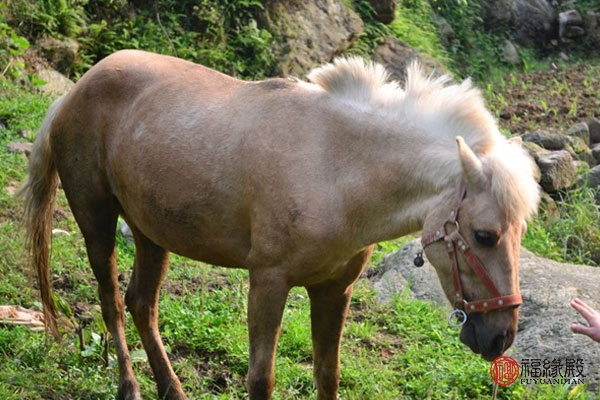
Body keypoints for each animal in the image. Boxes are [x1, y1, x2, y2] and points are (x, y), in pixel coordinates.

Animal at [19, 50, 540, 400]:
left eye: (518, 235)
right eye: (484, 236)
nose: (502, 336)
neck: (335, 166)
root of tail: (76, 89)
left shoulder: (334, 290)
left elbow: (327, 374)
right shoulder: (268, 282)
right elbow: (261, 378)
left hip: (151, 234)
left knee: (141, 304)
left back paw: (172, 387)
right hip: (97, 220)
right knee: (111, 302)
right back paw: (130, 387)